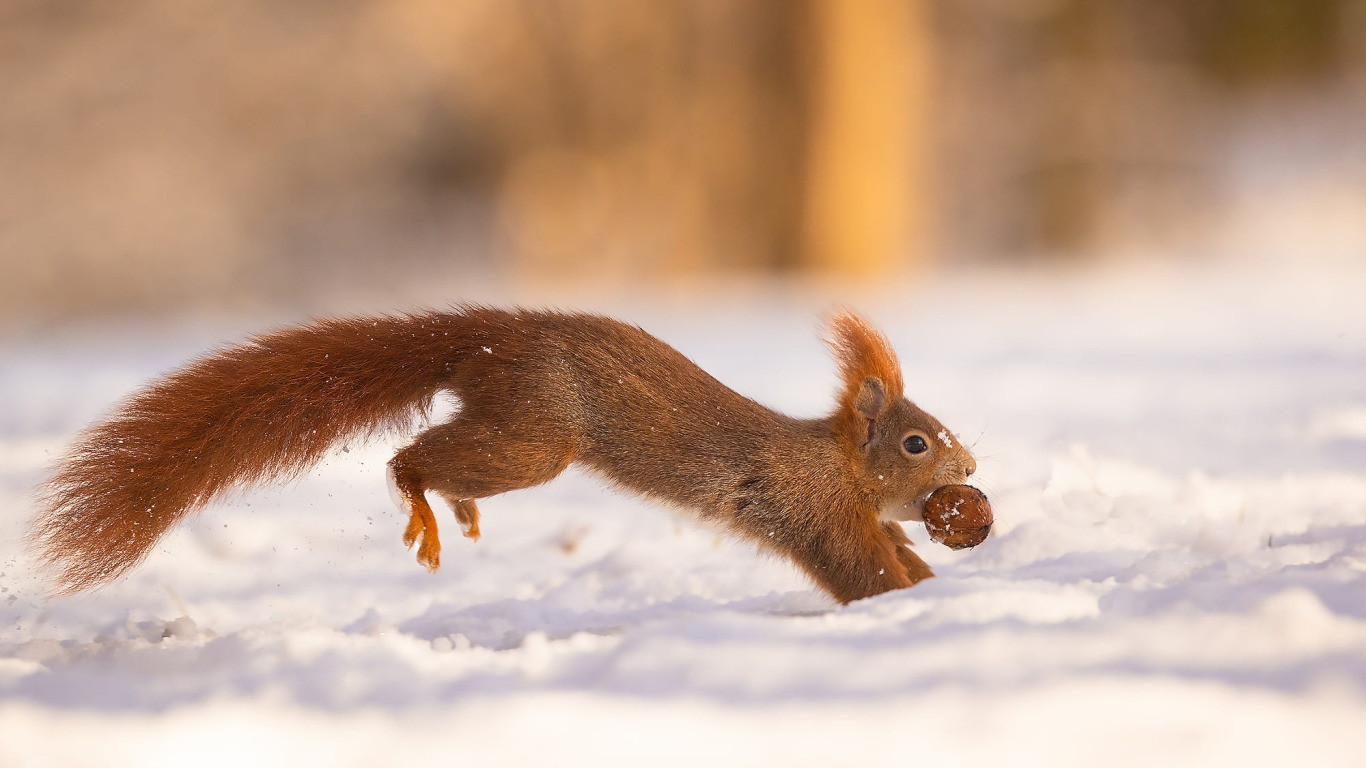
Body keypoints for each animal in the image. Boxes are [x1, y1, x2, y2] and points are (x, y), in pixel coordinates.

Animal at [29, 307, 972, 601]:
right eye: (918, 441)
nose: (967, 475)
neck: (842, 461)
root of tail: (490, 341)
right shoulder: (810, 505)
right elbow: (857, 566)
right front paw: (905, 604)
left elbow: (892, 544)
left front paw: (930, 579)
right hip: (538, 438)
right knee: (411, 456)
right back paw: (423, 501)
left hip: (515, 424)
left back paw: (453, 507)